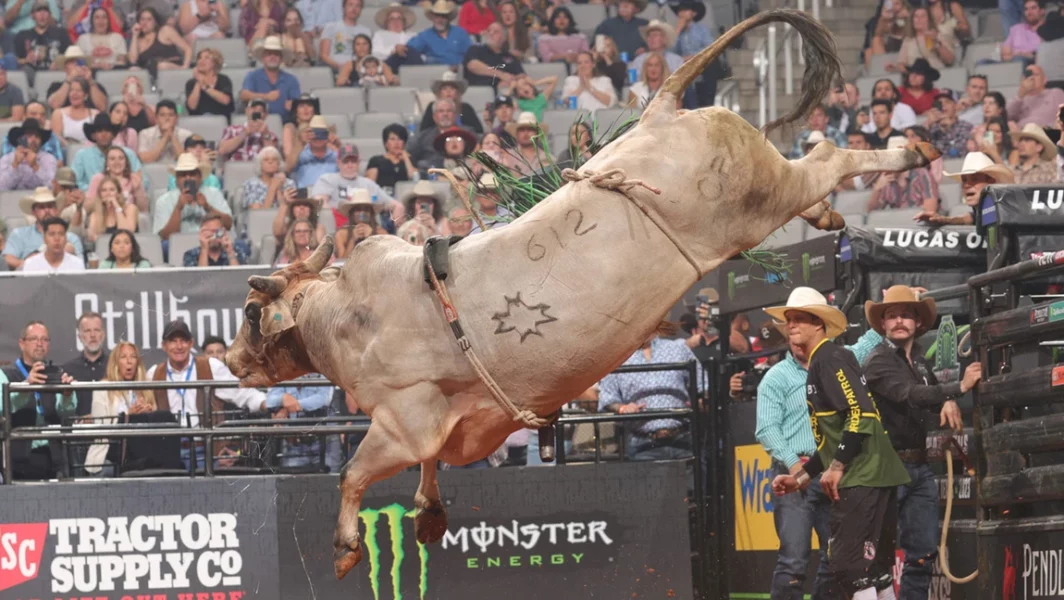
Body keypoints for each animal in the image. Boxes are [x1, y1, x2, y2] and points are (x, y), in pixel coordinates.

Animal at [225, 9, 941, 581]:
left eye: (252, 312)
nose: (231, 362)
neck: (350, 315)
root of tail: (660, 113)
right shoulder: (448, 424)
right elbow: (430, 467)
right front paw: (428, 514)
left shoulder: (403, 420)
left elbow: (354, 473)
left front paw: (346, 547)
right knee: (819, 162)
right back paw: (835, 211)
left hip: (764, 195)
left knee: (827, 157)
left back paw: (911, 152)